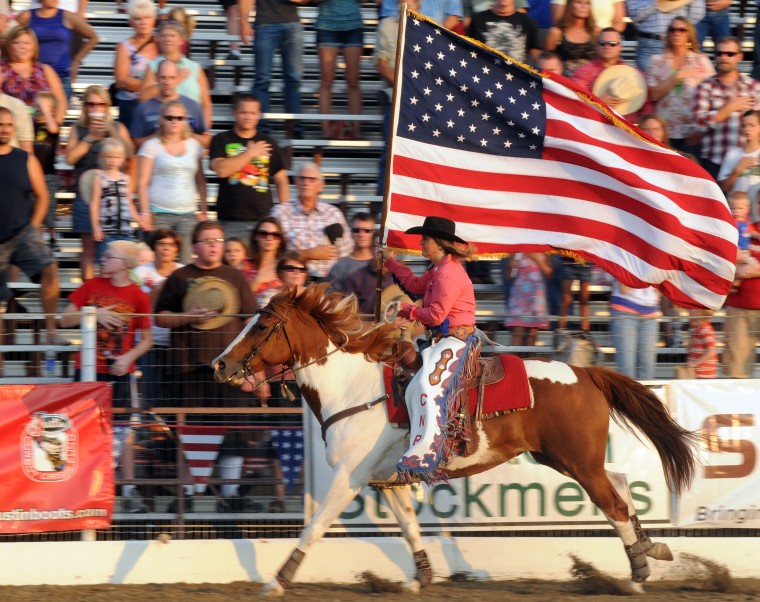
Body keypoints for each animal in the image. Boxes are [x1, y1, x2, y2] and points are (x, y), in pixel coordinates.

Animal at [214, 284, 700, 592]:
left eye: (263, 326)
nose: (219, 365)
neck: (353, 389)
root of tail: (586, 374)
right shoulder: (385, 481)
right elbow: (410, 526)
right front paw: (421, 579)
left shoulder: (348, 478)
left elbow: (314, 527)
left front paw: (277, 581)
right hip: (564, 459)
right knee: (620, 483)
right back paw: (652, 548)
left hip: (577, 462)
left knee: (613, 502)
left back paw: (638, 574)